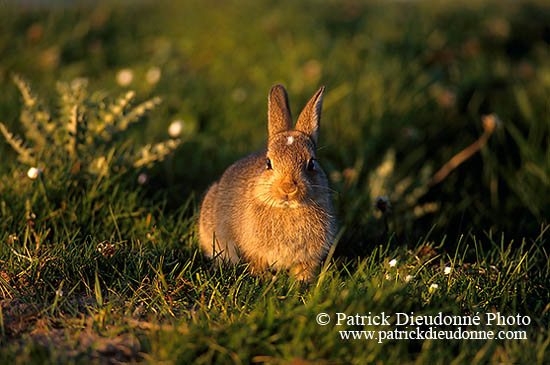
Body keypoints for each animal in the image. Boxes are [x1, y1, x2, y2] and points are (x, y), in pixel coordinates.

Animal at [198, 84, 336, 280]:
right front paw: (265, 279)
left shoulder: (309, 258)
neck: (287, 209)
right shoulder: (252, 252)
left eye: (312, 163)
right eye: (268, 163)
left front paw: (301, 282)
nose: (288, 188)